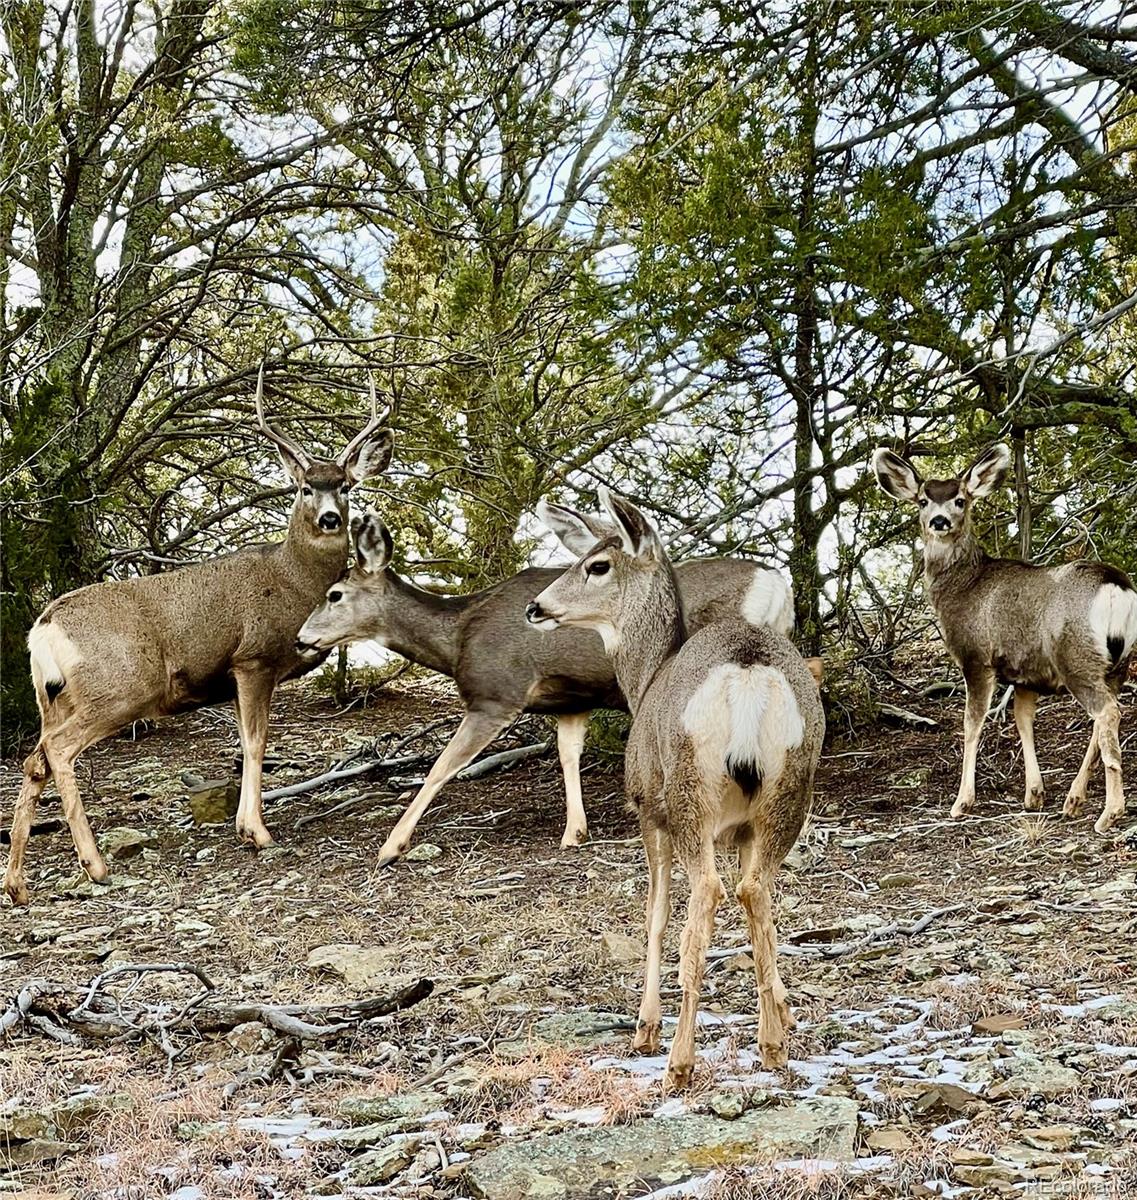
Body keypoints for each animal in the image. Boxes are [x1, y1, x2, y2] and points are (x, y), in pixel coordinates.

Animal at [5, 369, 395, 902]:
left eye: (345, 486)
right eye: (303, 488)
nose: (331, 518)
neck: (292, 579)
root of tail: (43, 627)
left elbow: (246, 744)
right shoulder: (252, 659)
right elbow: (255, 742)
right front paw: (255, 832)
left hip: (53, 697)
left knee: (33, 759)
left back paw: (16, 884)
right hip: (120, 686)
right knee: (58, 751)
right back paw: (95, 865)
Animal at [292, 501, 796, 868]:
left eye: (334, 594)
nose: (300, 638)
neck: (457, 638)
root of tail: (777, 582)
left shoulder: (496, 694)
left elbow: (441, 767)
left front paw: (390, 847)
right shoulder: (569, 701)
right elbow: (568, 755)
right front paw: (575, 832)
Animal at [522, 487, 825, 1089]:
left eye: (597, 563)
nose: (536, 607)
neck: (644, 678)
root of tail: (749, 669)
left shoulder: (647, 809)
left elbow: (656, 915)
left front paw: (645, 1026)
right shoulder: (742, 830)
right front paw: (783, 1009)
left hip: (688, 793)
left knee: (707, 892)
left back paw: (679, 1062)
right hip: (790, 789)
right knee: (755, 889)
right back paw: (772, 1046)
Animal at [873, 444, 1132, 835]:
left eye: (960, 500)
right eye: (922, 500)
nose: (939, 521)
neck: (964, 585)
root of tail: (1116, 586)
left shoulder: (975, 657)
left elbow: (971, 723)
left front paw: (961, 802)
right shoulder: (1026, 672)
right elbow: (1023, 720)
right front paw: (1034, 794)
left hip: (1076, 657)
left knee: (1107, 712)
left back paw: (1109, 813)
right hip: (1118, 663)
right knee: (1104, 716)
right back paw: (1073, 801)